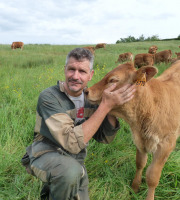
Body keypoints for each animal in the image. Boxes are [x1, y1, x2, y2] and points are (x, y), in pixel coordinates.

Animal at [85, 61, 180, 200]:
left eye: (113, 80)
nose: (87, 91)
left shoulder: (166, 145)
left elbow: (152, 177)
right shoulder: (139, 140)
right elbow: (140, 163)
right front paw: (135, 188)